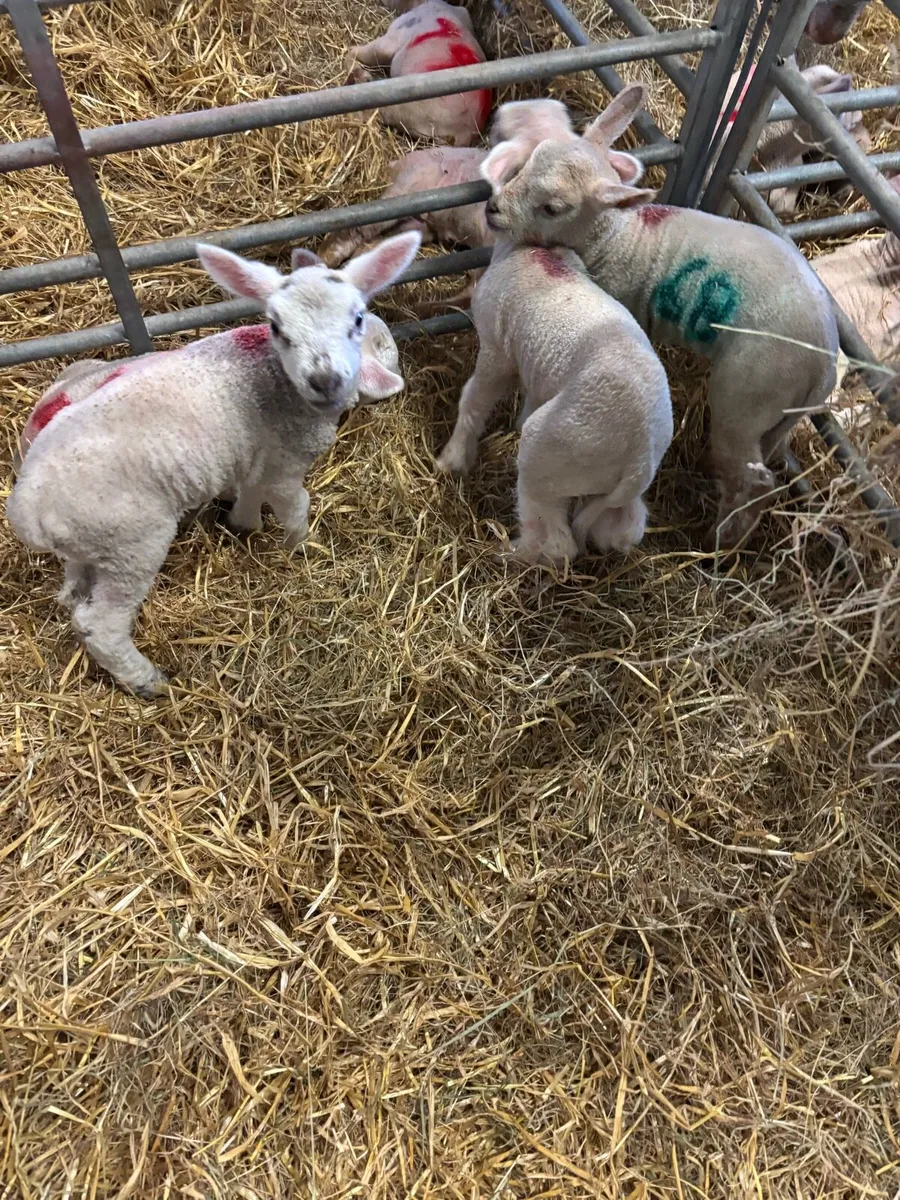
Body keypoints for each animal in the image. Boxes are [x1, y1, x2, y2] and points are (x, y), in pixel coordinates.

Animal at [5, 232, 421, 699]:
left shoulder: (256, 456)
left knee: (74, 596)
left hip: (88, 545)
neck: (276, 377)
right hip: (131, 542)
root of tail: (27, 510)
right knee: (101, 623)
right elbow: (297, 504)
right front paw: (300, 547)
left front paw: (245, 526)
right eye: (278, 328)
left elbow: (251, 494)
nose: (325, 379)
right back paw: (147, 681)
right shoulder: (286, 462)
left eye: (357, 318)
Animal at [437, 237, 672, 565]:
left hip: (546, 453)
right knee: (625, 526)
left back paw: (507, 551)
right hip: (597, 482)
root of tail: (638, 462)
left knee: (557, 542)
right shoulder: (538, 375)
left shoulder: (496, 349)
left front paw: (453, 458)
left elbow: (474, 399)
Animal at [481, 85, 840, 551]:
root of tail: (824, 361)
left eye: (552, 207)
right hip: (783, 414)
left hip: (747, 397)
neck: (617, 234)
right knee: (771, 454)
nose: (492, 208)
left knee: (755, 479)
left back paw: (722, 539)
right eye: (530, 159)